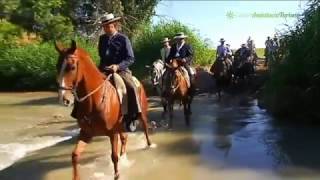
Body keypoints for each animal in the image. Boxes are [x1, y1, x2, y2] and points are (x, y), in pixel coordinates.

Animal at [54, 40, 155, 179]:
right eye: (57, 66)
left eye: (72, 67)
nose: (63, 99)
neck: (94, 100)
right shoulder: (86, 133)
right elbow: (75, 155)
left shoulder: (112, 133)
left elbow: (114, 157)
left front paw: (117, 175)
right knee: (124, 139)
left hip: (141, 115)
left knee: (145, 130)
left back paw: (149, 145)